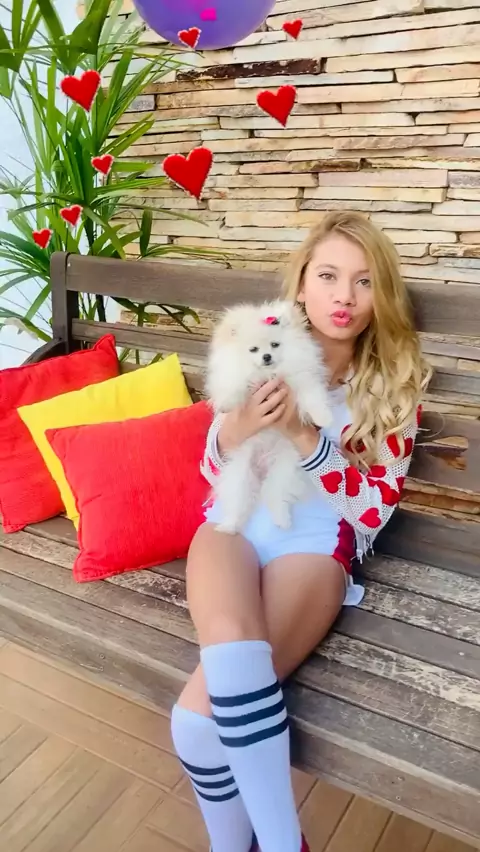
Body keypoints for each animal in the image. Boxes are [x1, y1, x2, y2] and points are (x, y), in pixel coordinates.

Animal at [202, 299, 332, 534]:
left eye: (275, 345)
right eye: (253, 349)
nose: (266, 357)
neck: (267, 375)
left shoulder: (302, 380)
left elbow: (312, 397)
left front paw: (323, 417)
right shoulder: (236, 375)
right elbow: (234, 385)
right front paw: (227, 403)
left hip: (284, 466)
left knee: (275, 494)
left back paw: (282, 520)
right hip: (240, 474)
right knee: (238, 501)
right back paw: (229, 526)